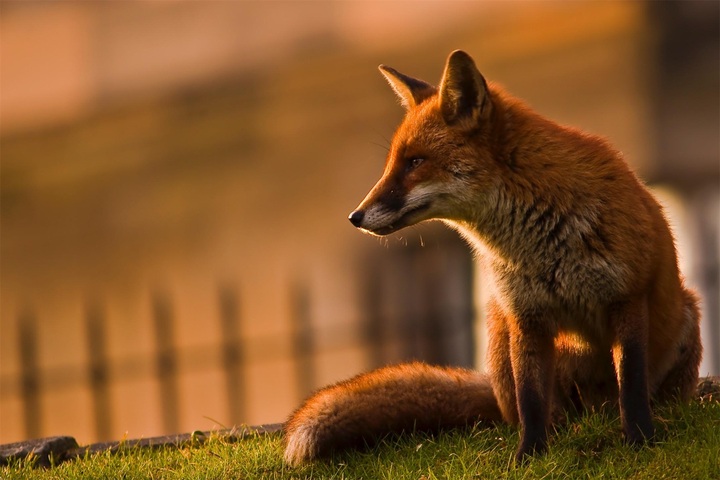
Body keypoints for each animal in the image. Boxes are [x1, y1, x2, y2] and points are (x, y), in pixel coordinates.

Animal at [282, 49, 704, 464]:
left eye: (415, 162)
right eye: (391, 164)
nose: (355, 217)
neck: (540, 242)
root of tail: (596, 411)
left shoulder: (625, 298)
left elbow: (631, 387)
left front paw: (640, 441)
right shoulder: (526, 315)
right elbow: (532, 401)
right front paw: (529, 457)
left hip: (685, 316)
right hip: (501, 332)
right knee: (534, 410)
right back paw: (566, 431)